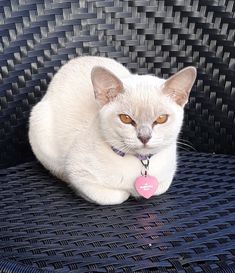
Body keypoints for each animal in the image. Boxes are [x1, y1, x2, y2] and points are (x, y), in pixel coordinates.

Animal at [28, 55, 196, 204]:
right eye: (125, 118)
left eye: (161, 119)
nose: (144, 137)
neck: (141, 161)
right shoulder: (79, 174)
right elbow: (117, 196)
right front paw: (128, 193)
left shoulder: (166, 176)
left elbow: (159, 188)